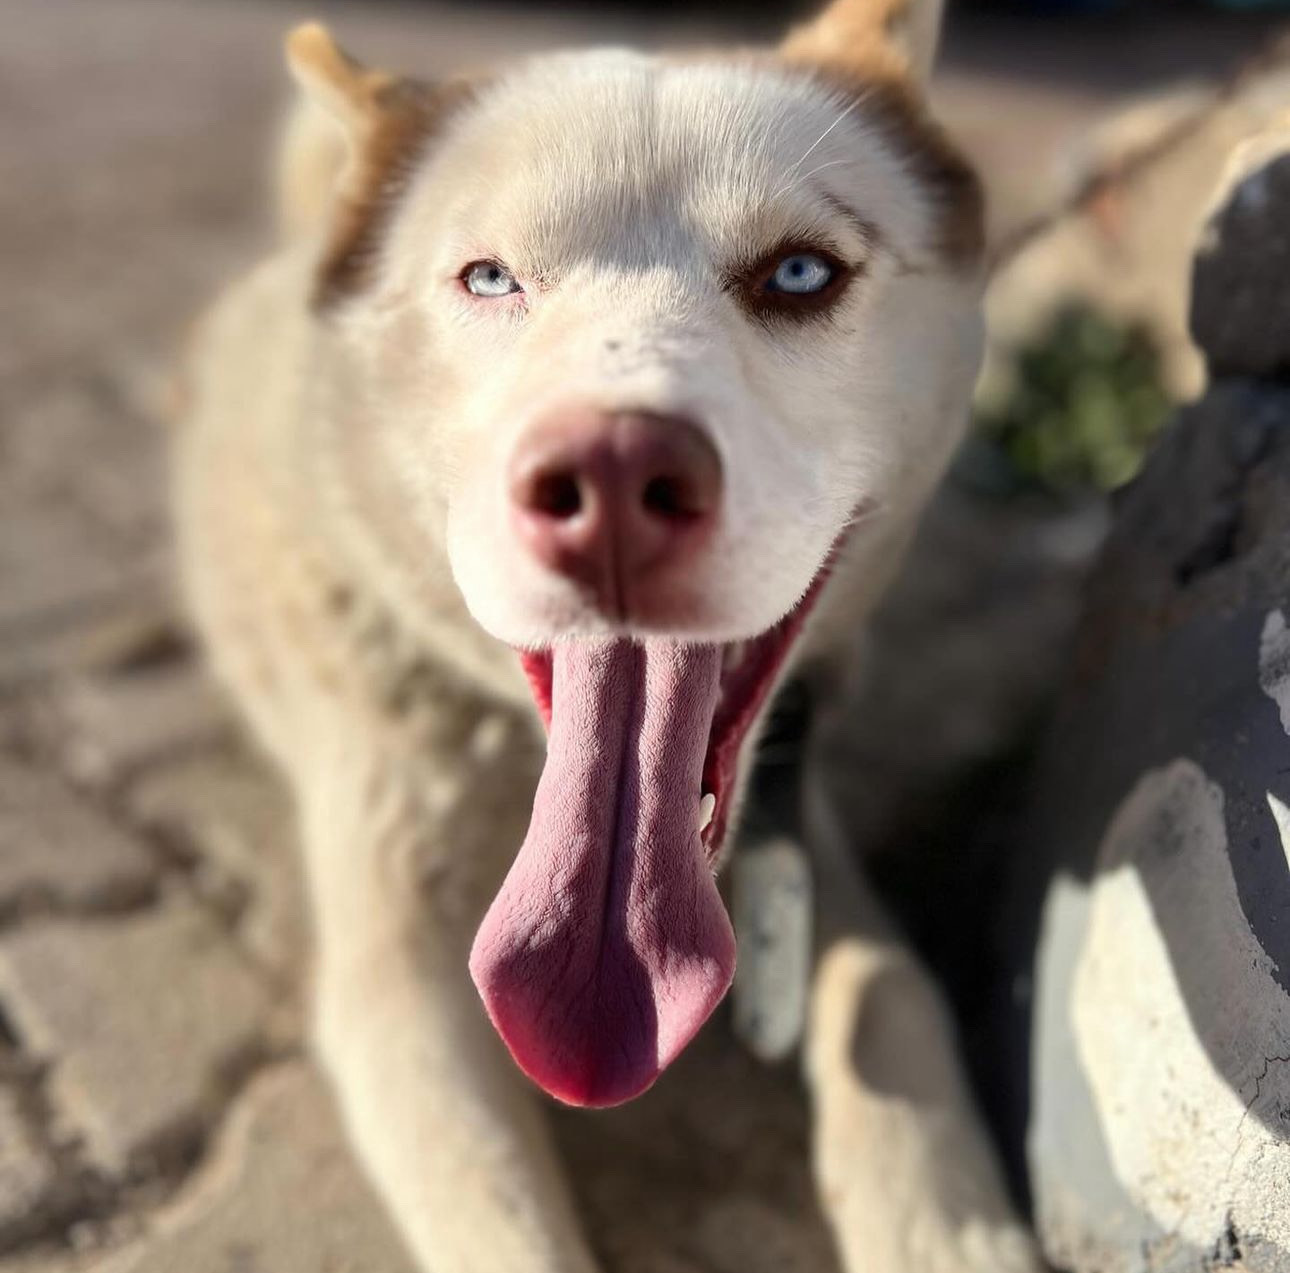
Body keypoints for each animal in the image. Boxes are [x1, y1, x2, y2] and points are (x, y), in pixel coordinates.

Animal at [174, 0, 1037, 1269]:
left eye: (799, 272)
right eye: (489, 277)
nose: (616, 476)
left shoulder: (805, 837)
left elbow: (891, 997)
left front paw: (948, 1225)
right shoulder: (398, 969)